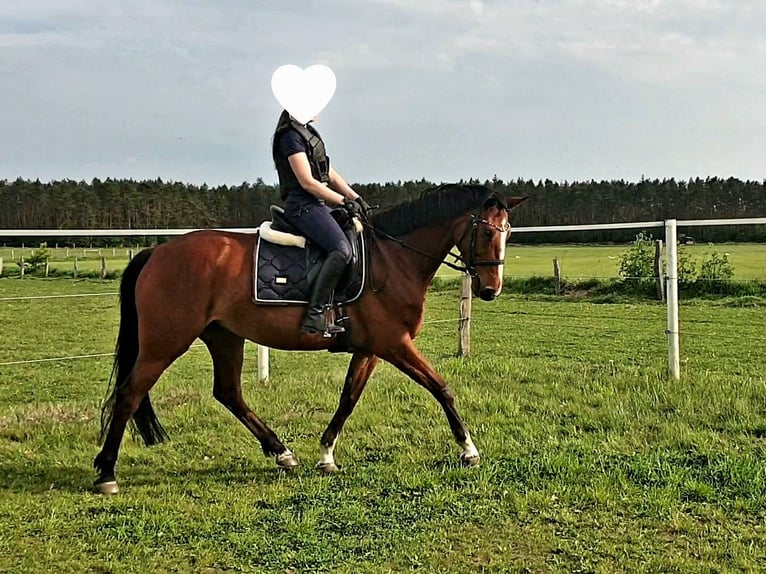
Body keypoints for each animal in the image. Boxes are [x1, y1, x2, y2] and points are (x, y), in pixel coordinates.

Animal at [94, 183, 527, 493]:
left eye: (508, 232)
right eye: (486, 232)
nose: (491, 290)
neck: (393, 259)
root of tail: (158, 251)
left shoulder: (371, 349)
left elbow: (348, 399)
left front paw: (326, 455)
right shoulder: (395, 344)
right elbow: (441, 387)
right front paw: (469, 450)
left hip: (224, 336)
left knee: (228, 392)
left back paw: (282, 453)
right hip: (165, 342)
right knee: (130, 393)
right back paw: (106, 473)